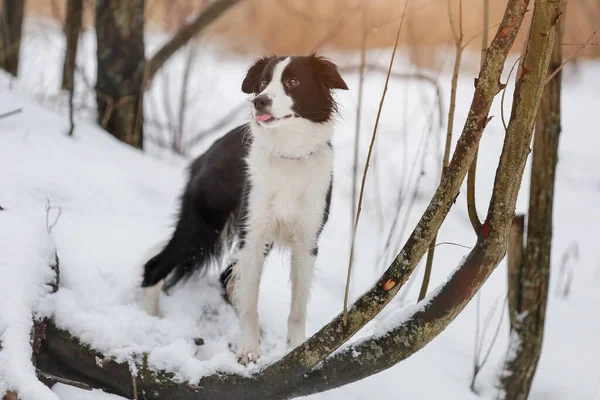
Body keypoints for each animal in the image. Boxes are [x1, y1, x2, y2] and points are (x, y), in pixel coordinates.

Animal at [140, 54, 346, 364]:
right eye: (263, 83)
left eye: (293, 82)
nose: (259, 101)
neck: (288, 155)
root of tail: (207, 152)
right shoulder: (254, 237)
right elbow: (250, 303)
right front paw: (248, 350)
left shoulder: (307, 243)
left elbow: (298, 308)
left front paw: (296, 350)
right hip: (203, 227)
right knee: (155, 266)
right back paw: (148, 320)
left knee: (226, 278)